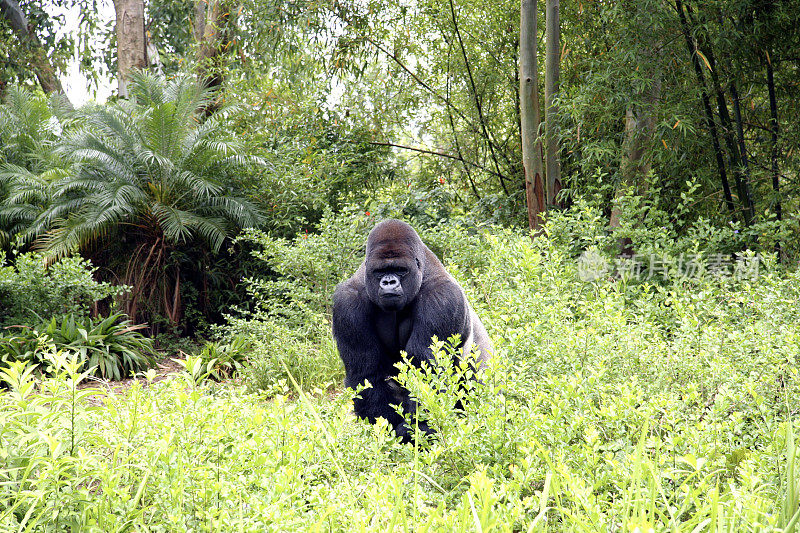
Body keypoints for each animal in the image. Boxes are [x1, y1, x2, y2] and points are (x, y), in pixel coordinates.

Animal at [330, 218, 490, 442]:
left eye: (400, 270)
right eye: (379, 272)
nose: (389, 282)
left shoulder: (442, 299)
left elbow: (427, 372)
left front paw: (416, 431)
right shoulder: (347, 304)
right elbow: (366, 373)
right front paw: (386, 432)